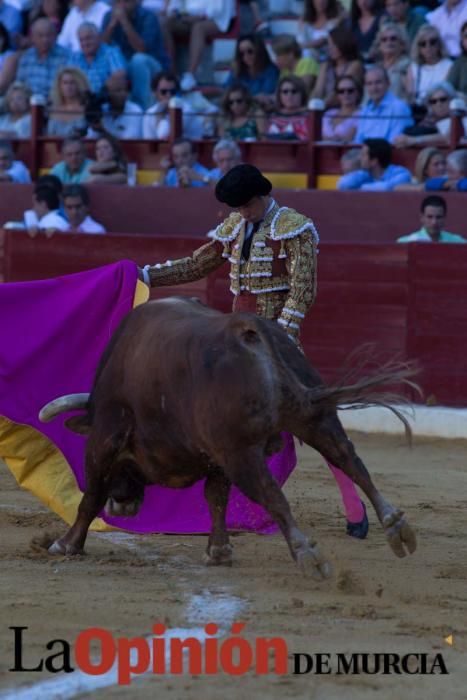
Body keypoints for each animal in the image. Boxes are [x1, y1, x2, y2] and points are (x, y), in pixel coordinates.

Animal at [40, 298, 418, 576]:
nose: (122, 505)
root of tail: (248, 328)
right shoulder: (215, 456)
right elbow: (216, 497)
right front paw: (219, 551)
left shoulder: (105, 438)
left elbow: (91, 495)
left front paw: (65, 544)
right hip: (317, 419)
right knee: (350, 461)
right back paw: (395, 526)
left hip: (243, 452)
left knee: (273, 495)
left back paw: (308, 554)